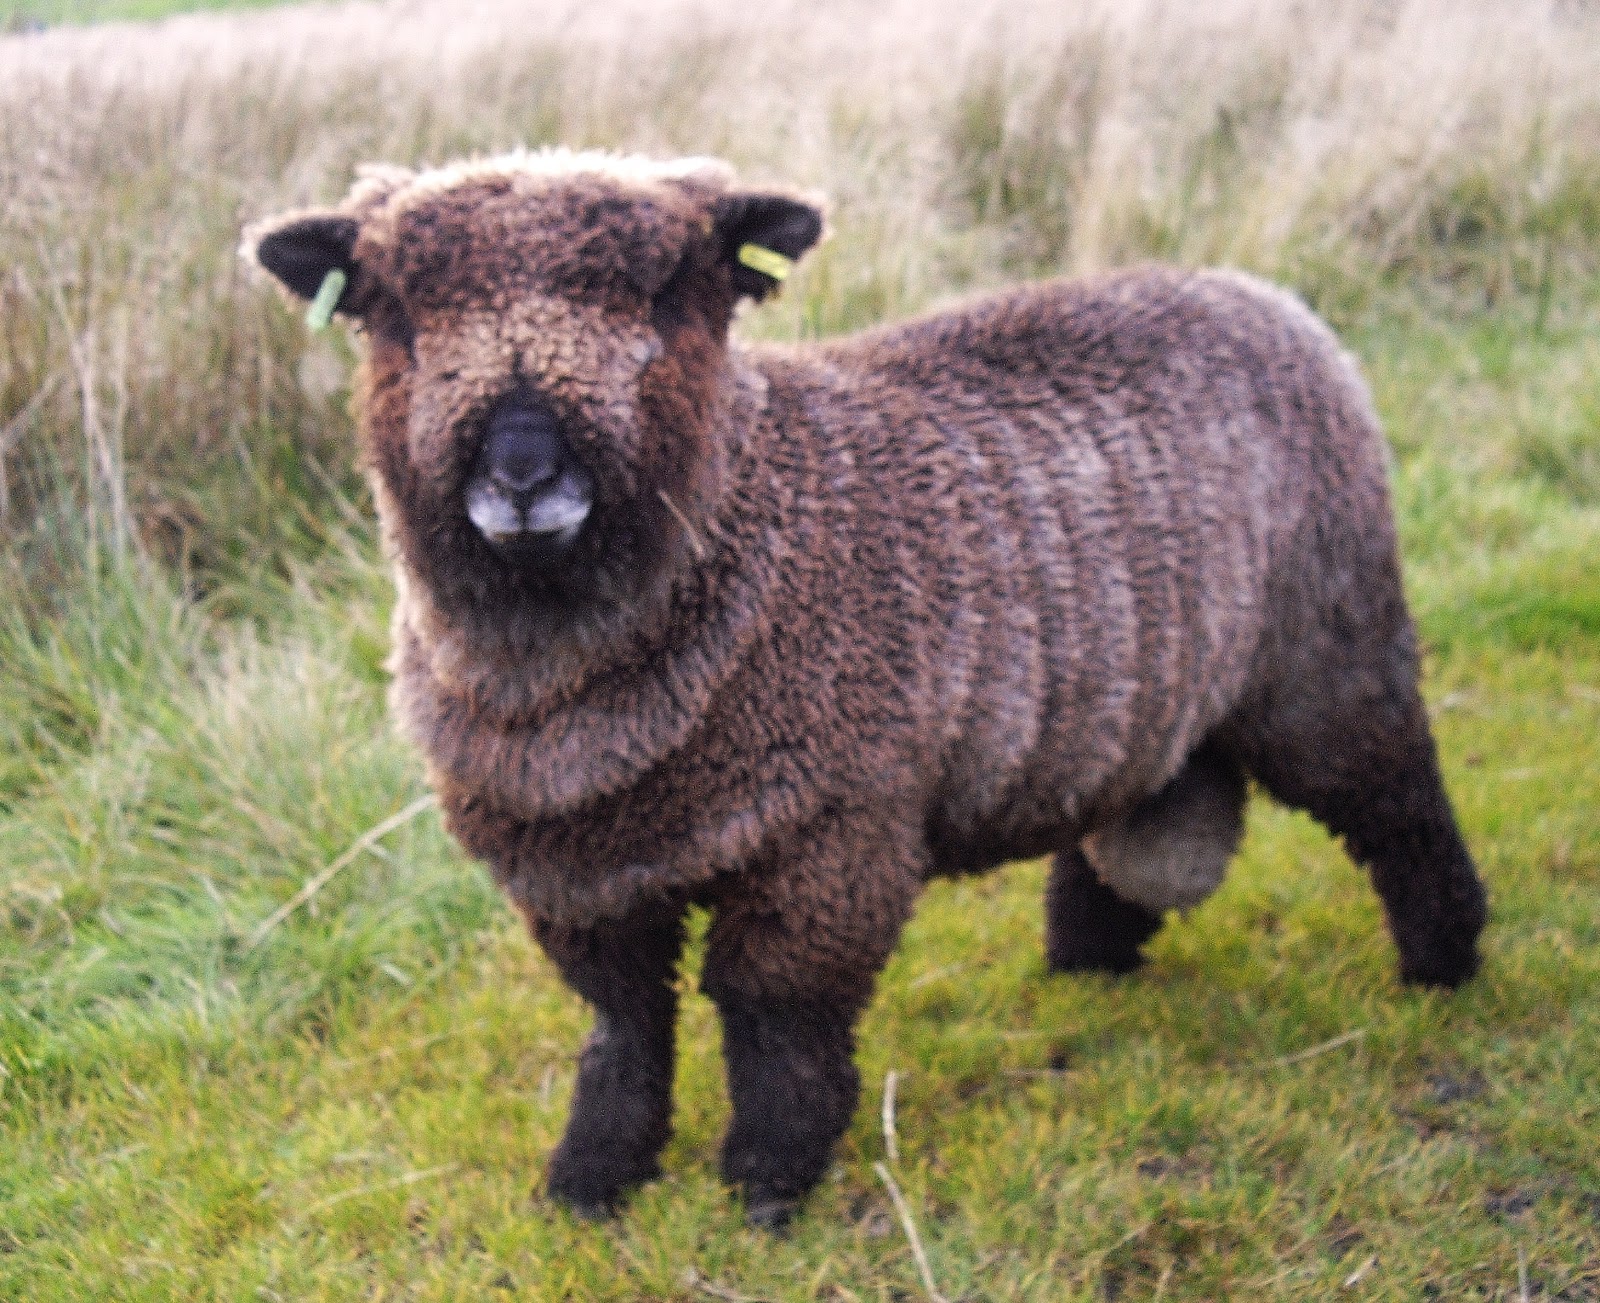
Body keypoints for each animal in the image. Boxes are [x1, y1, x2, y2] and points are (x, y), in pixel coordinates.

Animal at [246, 149, 1487, 1227]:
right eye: (391, 311)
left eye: (670, 293)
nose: (520, 471)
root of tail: (1257, 292)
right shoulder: (581, 870)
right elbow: (622, 1029)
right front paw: (591, 1181)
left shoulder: (827, 836)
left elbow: (774, 1019)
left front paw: (766, 1183)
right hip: (1146, 697)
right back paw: (1089, 962)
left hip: (1328, 654)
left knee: (1400, 805)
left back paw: (1444, 968)